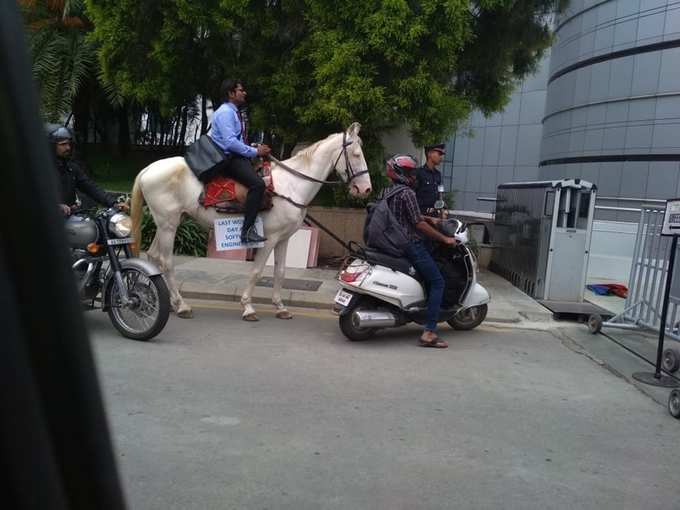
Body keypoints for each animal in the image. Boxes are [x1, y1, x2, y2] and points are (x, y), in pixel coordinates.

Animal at [131, 122, 372, 318]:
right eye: (356, 154)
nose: (366, 189)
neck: (292, 185)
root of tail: (149, 169)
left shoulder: (284, 239)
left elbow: (280, 272)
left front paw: (280, 307)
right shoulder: (270, 238)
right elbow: (257, 272)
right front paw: (247, 307)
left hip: (168, 222)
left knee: (153, 256)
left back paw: (162, 300)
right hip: (168, 224)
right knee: (166, 261)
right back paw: (181, 305)